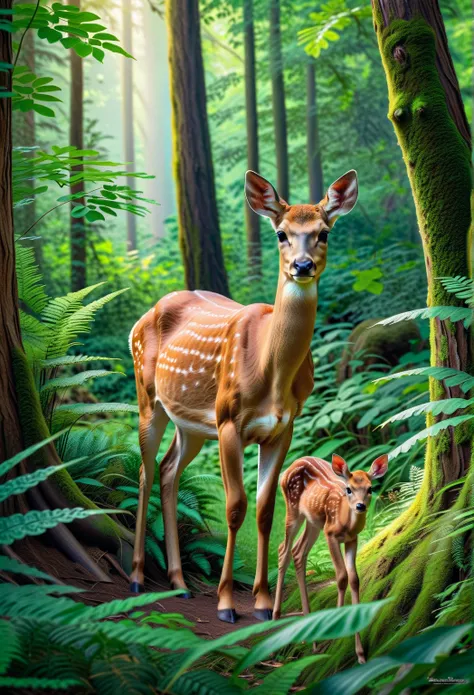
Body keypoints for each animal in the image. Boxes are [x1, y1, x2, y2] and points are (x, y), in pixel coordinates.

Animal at [128, 170, 358, 624]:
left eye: (323, 233)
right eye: (281, 233)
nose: (302, 266)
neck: (271, 376)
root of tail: (140, 320)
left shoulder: (282, 429)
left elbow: (265, 510)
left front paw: (264, 602)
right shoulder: (229, 421)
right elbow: (235, 506)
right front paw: (225, 604)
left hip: (193, 425)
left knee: (167, 470)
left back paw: (179, 582)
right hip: (150, 398)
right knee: (144, 470)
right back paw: (138, 577)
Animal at [272, 452, 386, 664]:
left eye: (370, 488)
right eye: (349, 489)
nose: (360, 506)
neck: (345, 522)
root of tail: (289, 467)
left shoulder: (352, 539)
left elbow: (354, 579)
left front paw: (360, 653)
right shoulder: (330, 534)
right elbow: (341, 576)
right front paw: (335, 632)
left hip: (313, 521)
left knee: (298, 552)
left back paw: (311, 638)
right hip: (294, 509)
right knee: (283, 549)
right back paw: (275, 620)